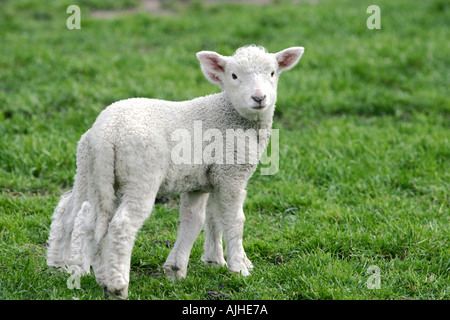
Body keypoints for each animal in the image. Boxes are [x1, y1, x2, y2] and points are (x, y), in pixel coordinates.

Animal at [45, 43, 304, 298]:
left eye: (272, 73)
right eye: (233, 75)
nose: (259, 97)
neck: (233, 116)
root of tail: (107, 130)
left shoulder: (205, 179)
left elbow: (203, 218)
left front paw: (203, 263)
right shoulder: (231, 173)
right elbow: (233, 220)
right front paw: (239, 268)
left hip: (91, 172)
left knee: (76, 213)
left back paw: (64, 266)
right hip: (141, 174)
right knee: (121, 224)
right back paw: (117, 285)